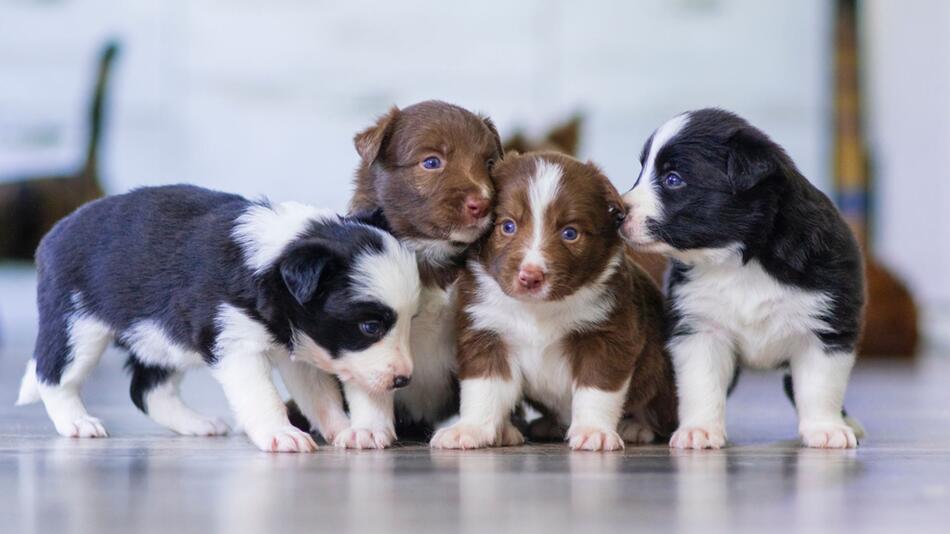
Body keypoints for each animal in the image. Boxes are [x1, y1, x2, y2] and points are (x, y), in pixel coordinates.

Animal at [14, 184, 420, 452]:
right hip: (77, 323)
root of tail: (54, 233)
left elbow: (320, 396)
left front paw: (345, 430)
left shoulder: (301, 348)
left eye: (410, 321)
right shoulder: (237, 345)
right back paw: (77, 422)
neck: (274, 260)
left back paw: (197, 424)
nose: (403, 380)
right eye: (370, 327)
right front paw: (281, 434)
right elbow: (263, 397)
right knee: (54, 375)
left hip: (160, 338)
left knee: (147, 390)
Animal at [428, 154, 680, 452]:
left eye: (570, 233)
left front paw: (593, 430)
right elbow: (483, 387)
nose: (530, 277)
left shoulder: (606, 334)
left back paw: (635, 427)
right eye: (508, 226)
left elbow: (596, 389)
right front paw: (469, 429)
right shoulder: (486, 332)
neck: (538, 309)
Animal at [620, 110, 868, 452]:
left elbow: (819, 386)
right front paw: (699, 430)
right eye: (641, 171)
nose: (617, 212)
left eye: (673, 179)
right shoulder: (700, 328)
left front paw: (826, 429)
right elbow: (701, 384)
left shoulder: (826, 327)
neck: (739, 260)